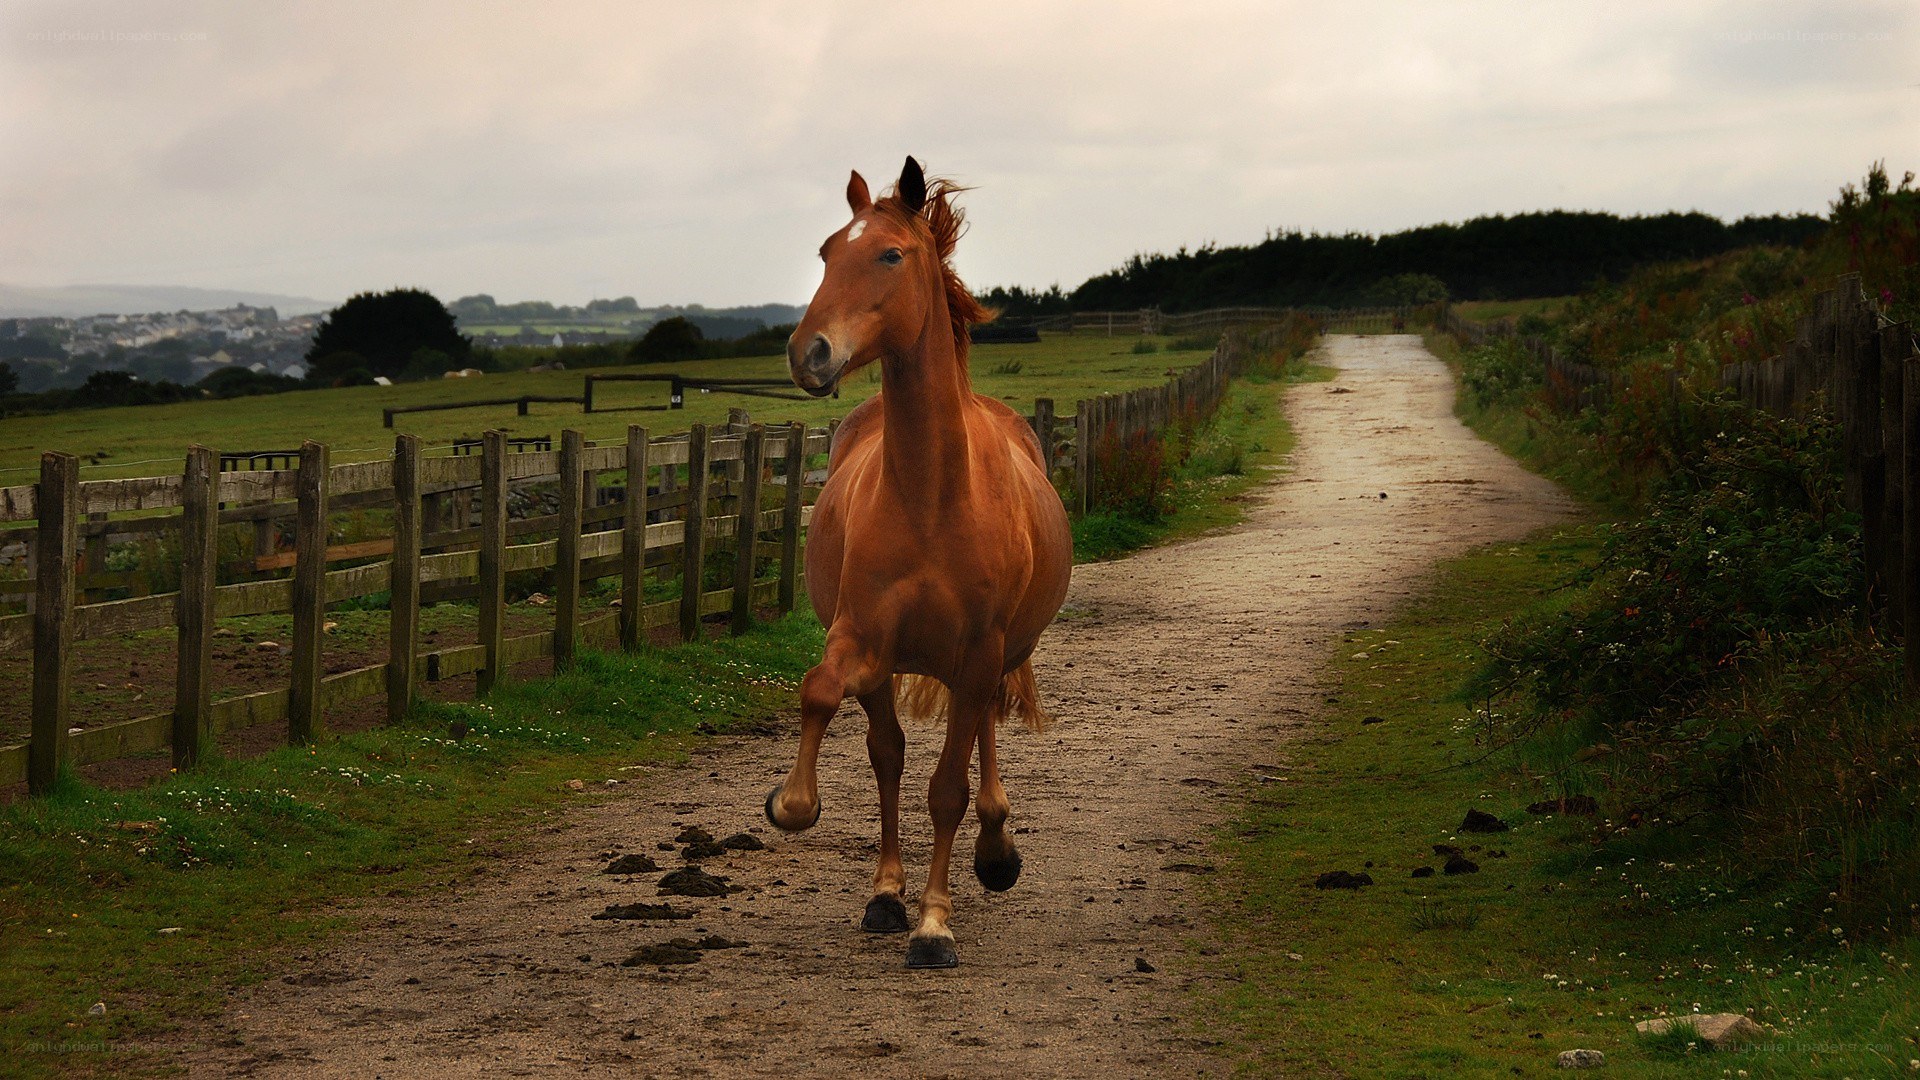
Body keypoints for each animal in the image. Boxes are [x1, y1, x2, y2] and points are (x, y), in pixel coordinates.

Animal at [766, 157, 1074, 969]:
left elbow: (948, 790)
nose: (809, 352)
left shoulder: (978, 653)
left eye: (890, 255)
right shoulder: (862, 637)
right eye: (825, 252)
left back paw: (994, 852)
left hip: (999, 656)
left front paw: (936, 925)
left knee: (982, 740)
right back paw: (885, 893)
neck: (934, 495)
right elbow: (825, 697)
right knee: (889, 754)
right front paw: (795, 805)